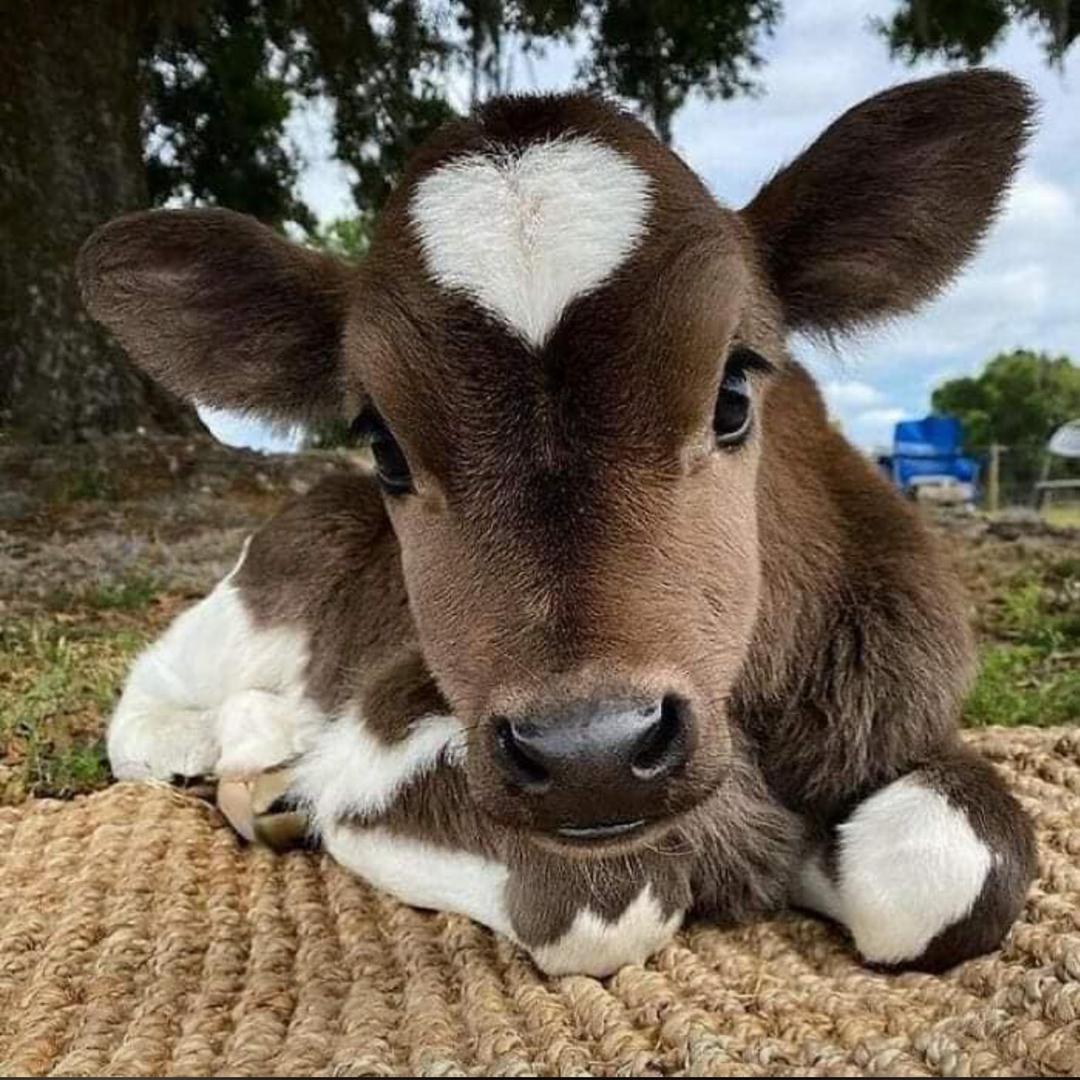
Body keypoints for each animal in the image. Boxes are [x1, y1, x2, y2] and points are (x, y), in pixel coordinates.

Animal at [78, 70, 1037, 978]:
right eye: (384, 443)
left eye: (734, 390)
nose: (590, 754)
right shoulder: (384, 742)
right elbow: (606, 900)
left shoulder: (899, 710)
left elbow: (946, 872)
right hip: (267, 588)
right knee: (155, 697)